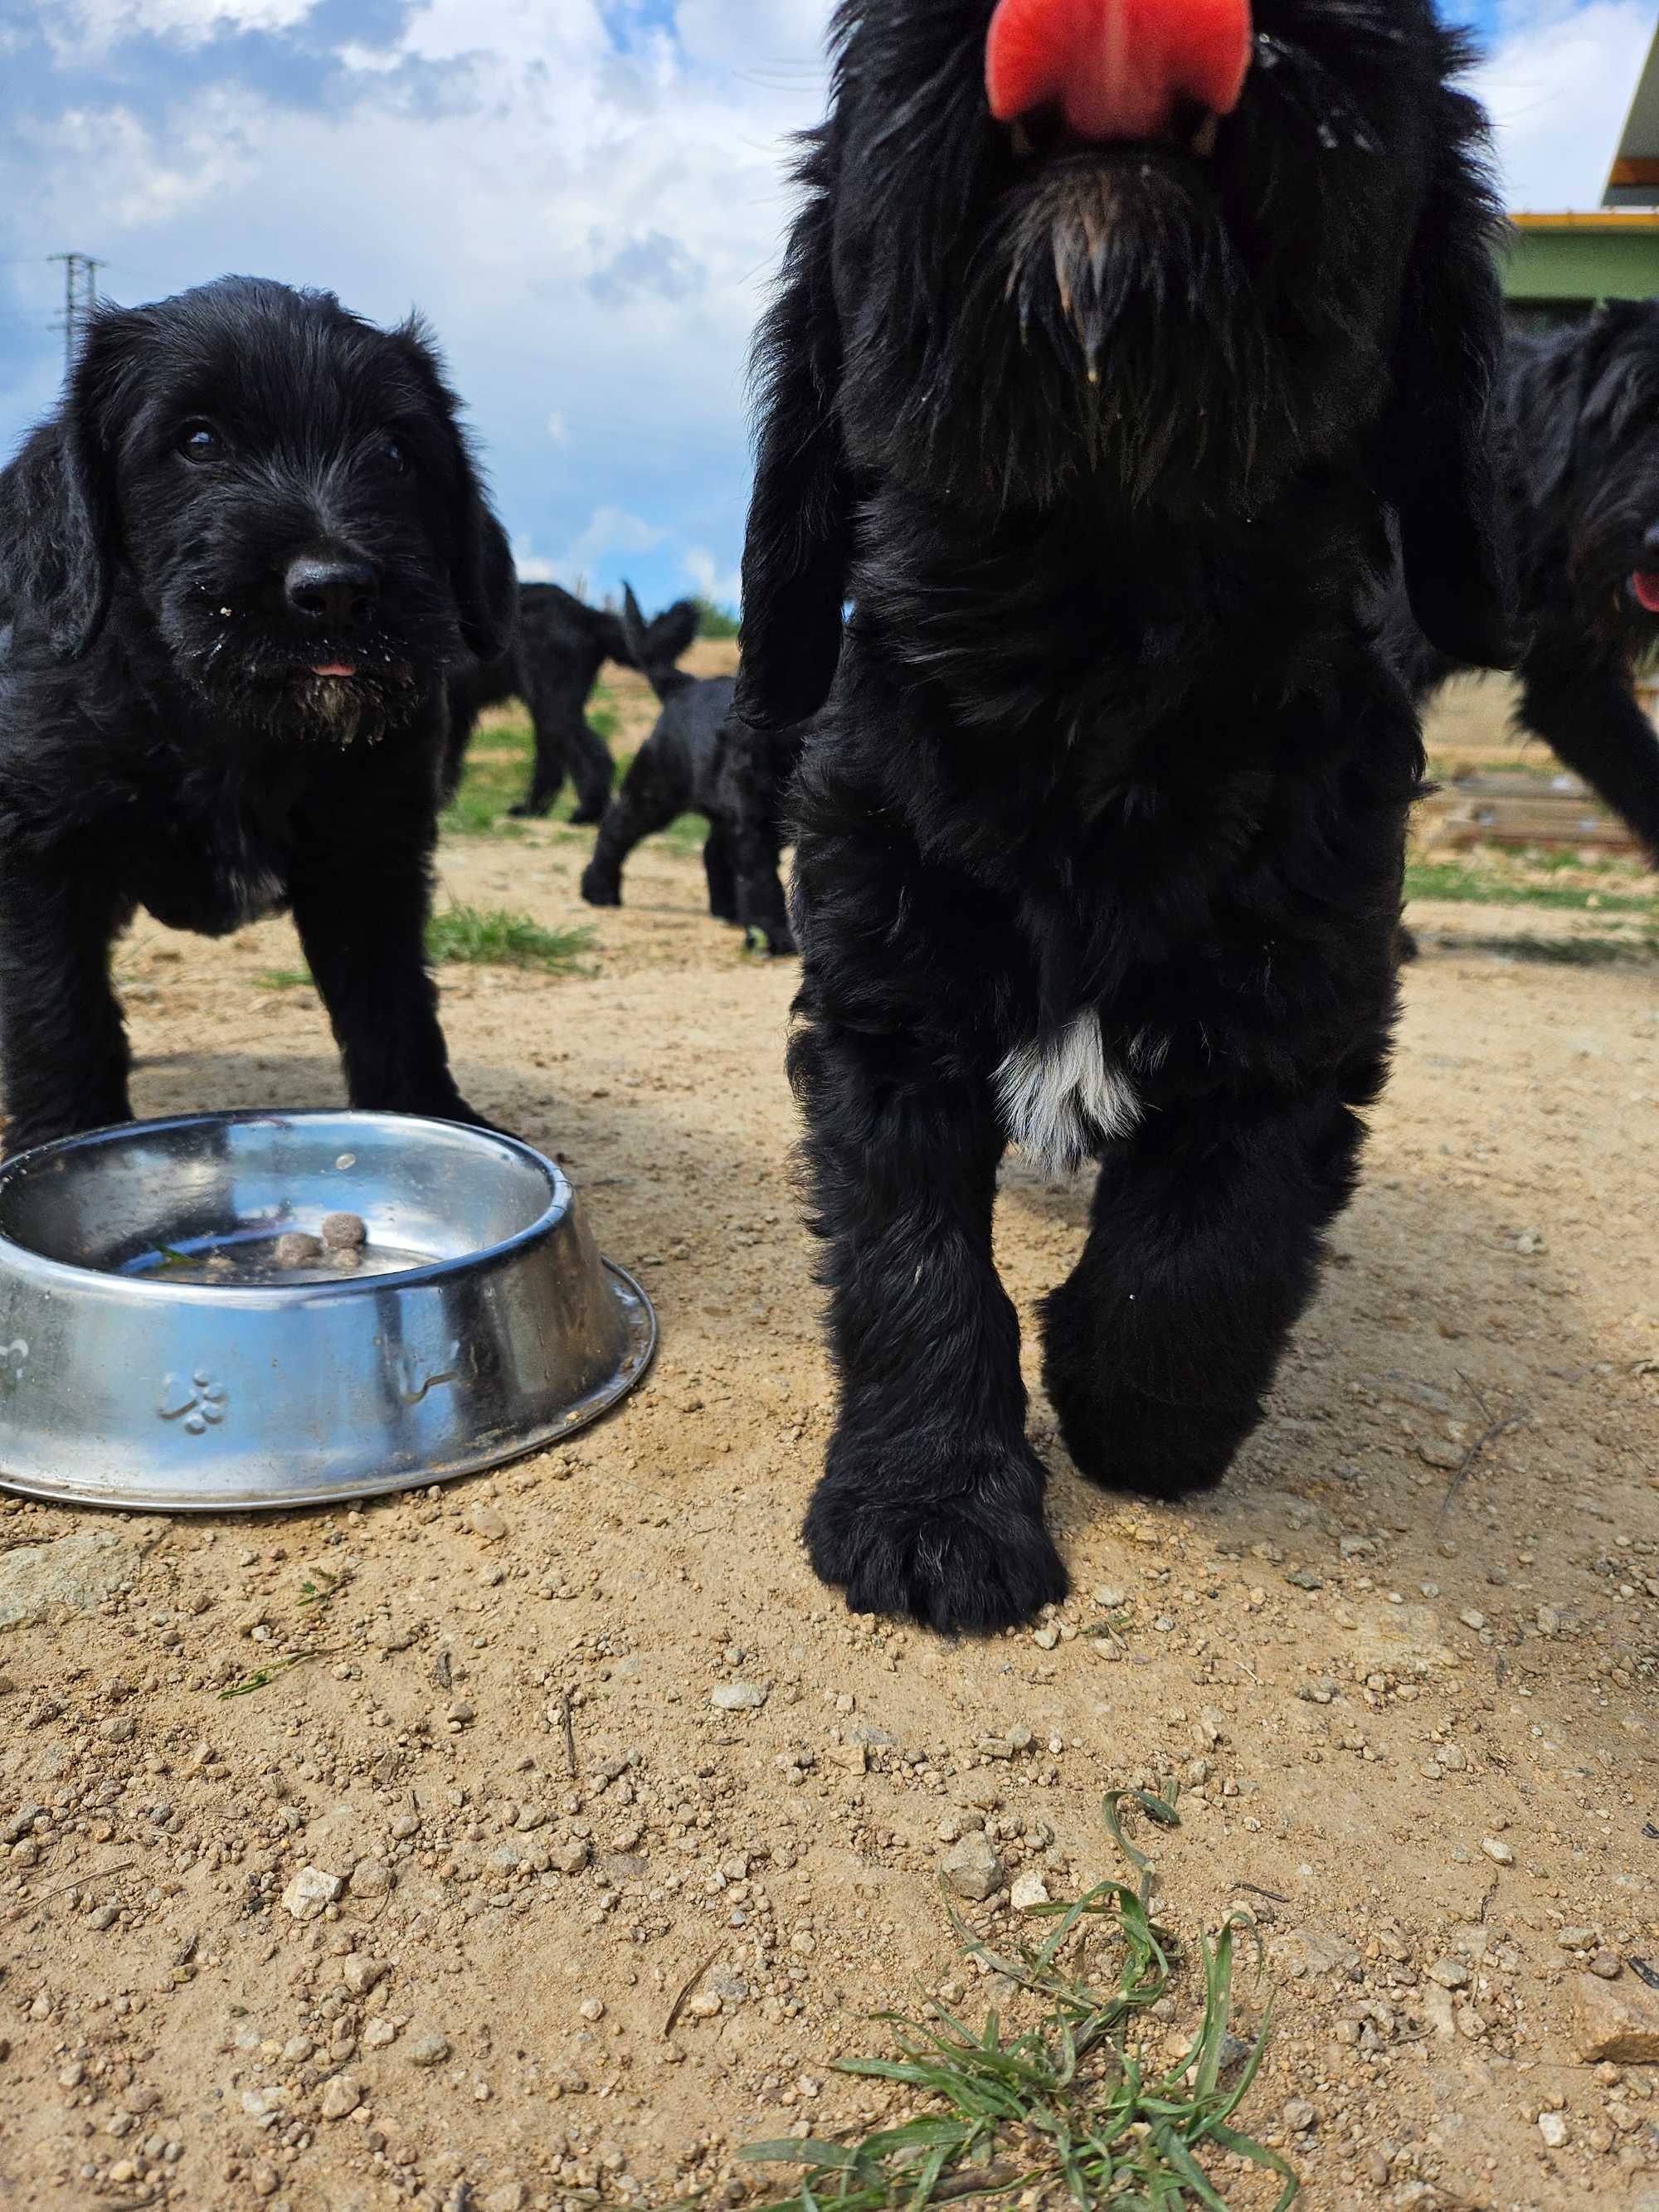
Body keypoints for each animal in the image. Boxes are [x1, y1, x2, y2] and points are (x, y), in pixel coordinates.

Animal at [0, 272, 518, 1159]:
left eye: (394, 452)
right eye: (199, 441)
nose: (334, 590)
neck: (229, 726)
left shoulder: (370, 854)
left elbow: (393, 1001)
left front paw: (429, 1113)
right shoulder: (39, 850)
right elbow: (55, 1010)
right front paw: (63, 1136)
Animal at [442, 588, 703, 823]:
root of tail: (586, 614)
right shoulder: (458, 709)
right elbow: (450, 758)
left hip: (552, 702)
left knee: (587, 753)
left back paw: (586, 812)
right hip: (547, 703)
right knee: (557, 759)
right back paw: (532, 809)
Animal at [579, 584, 800, 946]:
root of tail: (683, 685)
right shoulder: (754, 824)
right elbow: (763, 882)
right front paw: (773, 937)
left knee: (713, 852)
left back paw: (727, 911)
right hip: (654, 792)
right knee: (615, 829)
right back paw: (599, 890)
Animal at [738, 0, 1521, 1627]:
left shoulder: (1304, 1005)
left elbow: (1207, 1242)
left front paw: (1133, 1413)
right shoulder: (880, 1001)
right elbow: (914, 1261)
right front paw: (929, 1510)